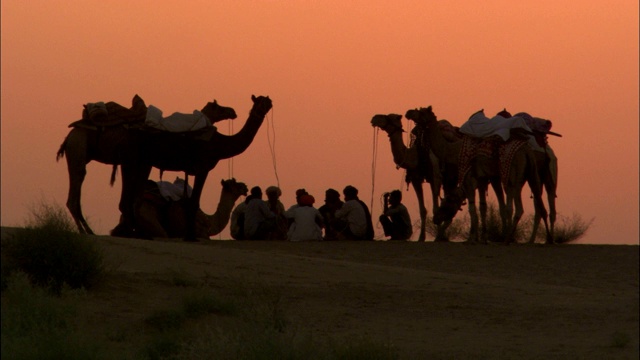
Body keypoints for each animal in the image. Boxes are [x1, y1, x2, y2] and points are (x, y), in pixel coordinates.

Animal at [57, 95, 238, 236]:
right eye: (218, 106)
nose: (232, 111)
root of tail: (69, 135)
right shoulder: (135, 158)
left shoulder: (142, 162)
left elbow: (134, 197)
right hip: (78, 147)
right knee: (77, 183)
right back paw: (85, 231)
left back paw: (88, 230)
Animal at [370, 113, 456, 242]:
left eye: (391, 117)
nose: (374, 118)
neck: (417, 156)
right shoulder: (416, 179)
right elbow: (423, 210)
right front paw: (421, 238)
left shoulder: (435, 178)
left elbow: (436, 210)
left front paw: (438, 237)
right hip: (448, 180)